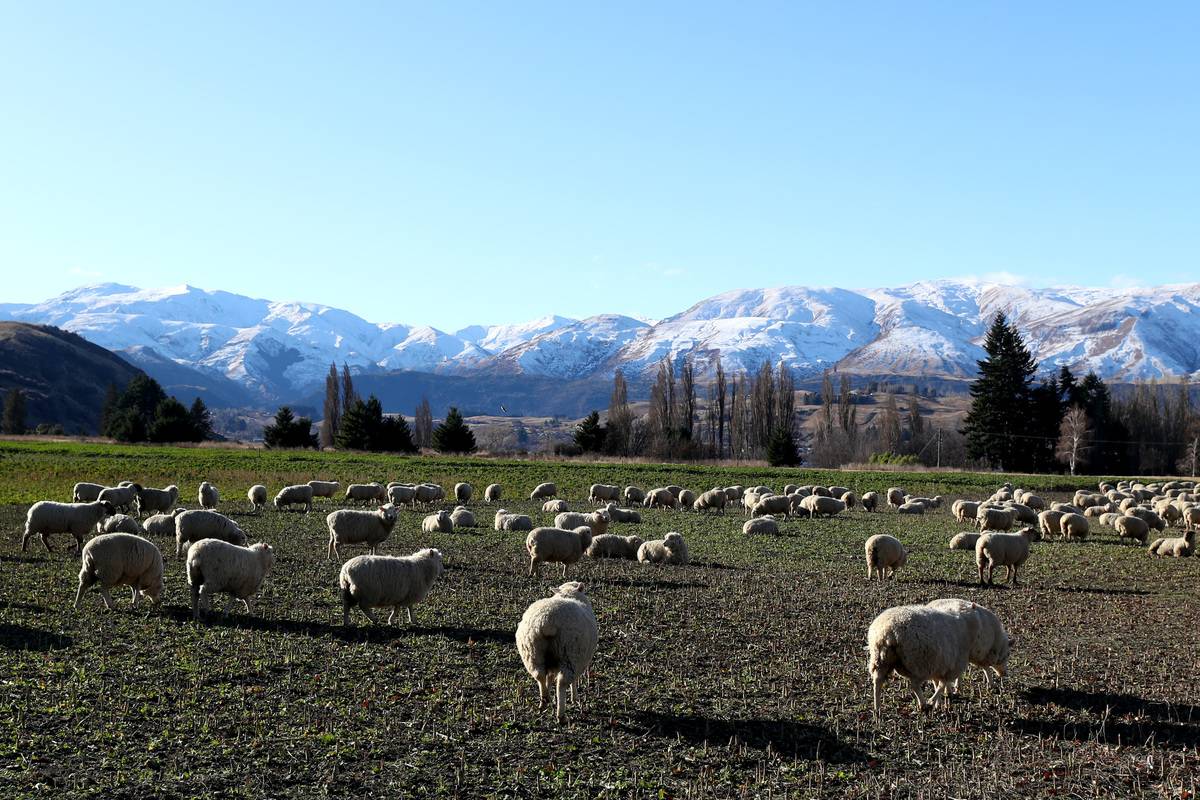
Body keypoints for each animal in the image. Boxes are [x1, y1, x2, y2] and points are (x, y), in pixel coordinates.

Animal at [516, 581, 598, 724]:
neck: (568, 594)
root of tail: (547, 621)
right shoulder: (580, 661)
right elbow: (574, 681)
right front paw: (575, 698)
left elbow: (549, 677)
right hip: (570, 655)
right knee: (562, 683)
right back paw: (561, 715)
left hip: (532, 653)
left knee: (540, 675)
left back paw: (544, 701)